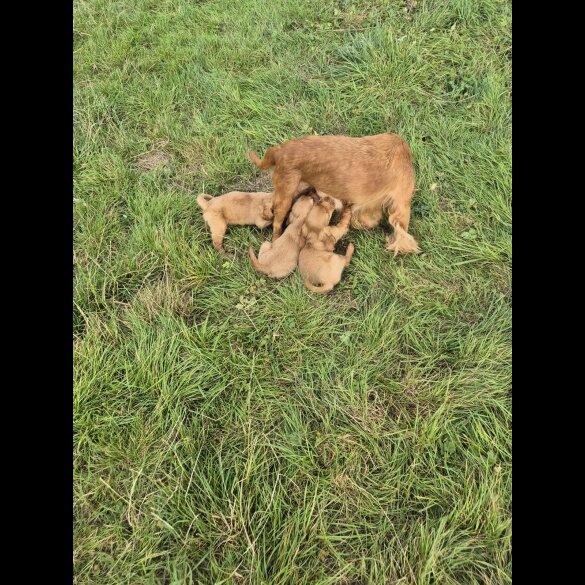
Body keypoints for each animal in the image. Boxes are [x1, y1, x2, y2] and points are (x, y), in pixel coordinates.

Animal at [246, 132, 420, 256]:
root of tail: (279, 150)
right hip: (286, 195)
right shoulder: (401, 201)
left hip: (292, 189)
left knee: (269, 205)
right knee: (276, 224)